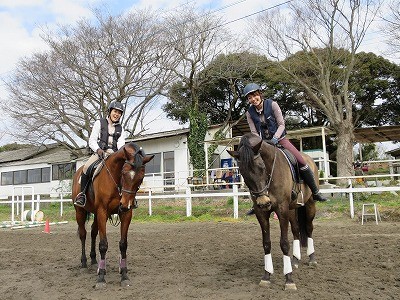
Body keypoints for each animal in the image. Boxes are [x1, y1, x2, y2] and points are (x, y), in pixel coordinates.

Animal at [72, 142, 153, 290]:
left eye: (141, 177)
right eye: (124, 172)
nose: (125, 204)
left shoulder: (126, 214)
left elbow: (123, 244)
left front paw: (124, 275)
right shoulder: (102, 212)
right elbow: (103, 244)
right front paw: (101, 278)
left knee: (93, 233)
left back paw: (94, 260)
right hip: (79, 212)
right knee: (83, 234)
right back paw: (84, 263)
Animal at [230, 134, 318, 290]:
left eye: (261, 167)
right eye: (243, 172)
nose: (264, 202)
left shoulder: (281, 210)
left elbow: (284, 243)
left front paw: (289, 279)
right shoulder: (261, 213)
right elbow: (266, 243)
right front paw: (266, 276)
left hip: (309, 204)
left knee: (308, 228)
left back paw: (312, 258)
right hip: (292, 209)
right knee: (296, 230)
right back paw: (295, 260)